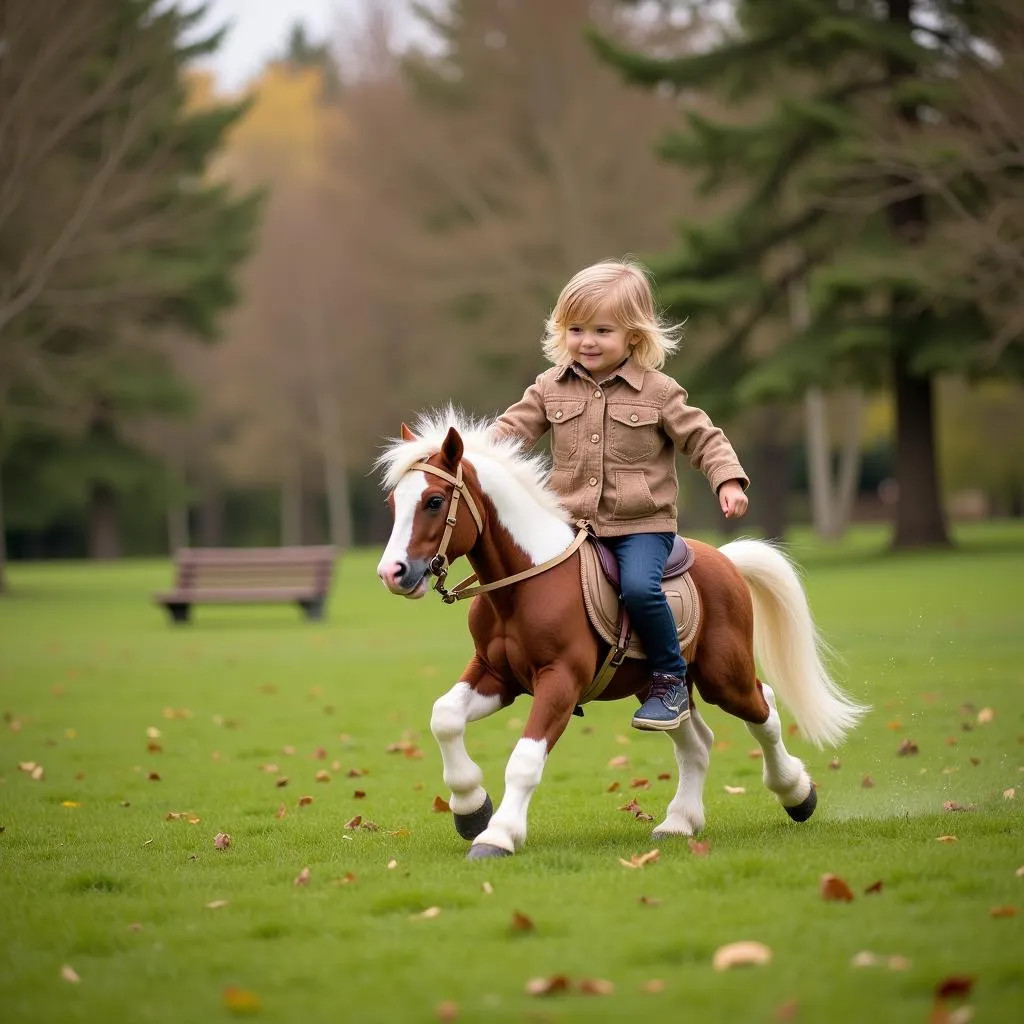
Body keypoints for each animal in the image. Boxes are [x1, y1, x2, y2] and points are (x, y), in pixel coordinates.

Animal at [376, 411, 864, 860]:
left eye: (434, 501)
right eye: (393, 503)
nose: (391, 573)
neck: (525, 583)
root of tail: (724, 559)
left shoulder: (560, 683)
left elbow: (525, 760)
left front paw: (497, 836)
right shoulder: (497, 676)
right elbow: (444, 717)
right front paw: (470, 809)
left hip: (724, 677)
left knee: (766, 711)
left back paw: (797, 794)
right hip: (659, 689)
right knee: (698, 743)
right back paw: (679, 822)